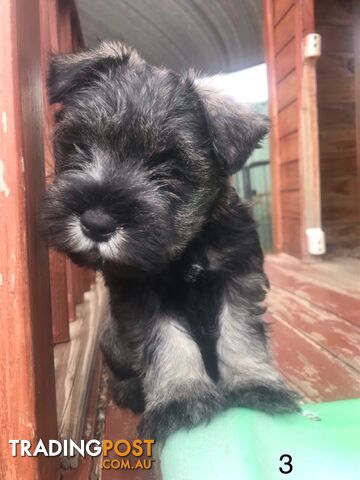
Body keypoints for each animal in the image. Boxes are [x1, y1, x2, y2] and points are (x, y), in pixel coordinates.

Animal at [42, 43, 300, 440]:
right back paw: (131, 390)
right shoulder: (142, 296)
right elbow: (168, 343)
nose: (97, 223)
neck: (185, 249)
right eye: (80, 146)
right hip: (112, 338)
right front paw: (182, 398)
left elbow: (240, 334)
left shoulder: (238, 278)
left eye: (170, 168)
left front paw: (256, 385)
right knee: (124, 368)